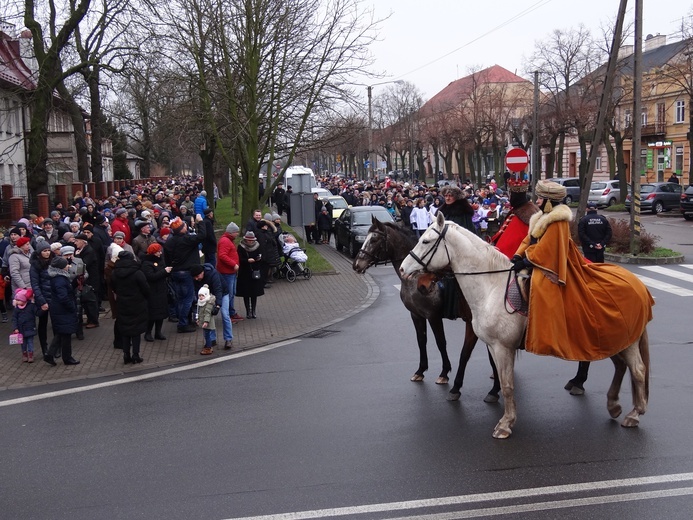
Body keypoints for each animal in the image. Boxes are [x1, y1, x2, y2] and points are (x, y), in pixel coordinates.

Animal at [352, 219, 498, 402]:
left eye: (374, 239)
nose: (356, 265)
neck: (414, 278)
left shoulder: (433, 316)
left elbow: (440, 342)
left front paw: (444, 373)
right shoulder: (416, 315)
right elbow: (421, 341)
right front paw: (420, 371)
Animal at [400, 211, 648, 438]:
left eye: (426, 241)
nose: (403, 270)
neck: (491, 287)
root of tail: (637, 283)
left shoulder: (503, 347)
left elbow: (507, 384)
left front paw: (505, 424)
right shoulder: (492, 345)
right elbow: (500, 378)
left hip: (627, 341)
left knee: (637, 370)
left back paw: (634, 414)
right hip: (613, 339)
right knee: (621, 366)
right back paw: (613, 405)